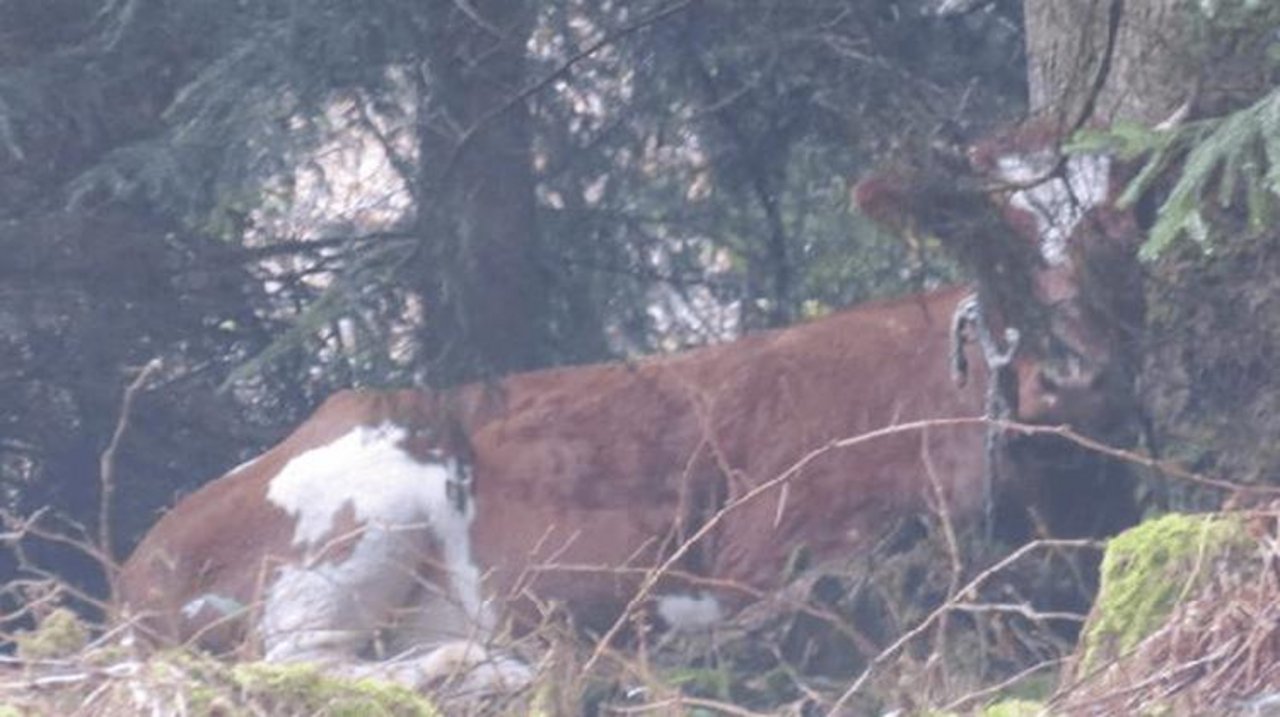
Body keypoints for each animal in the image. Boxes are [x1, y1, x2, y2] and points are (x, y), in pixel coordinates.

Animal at [115, 127, 1146, 691]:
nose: (1073, 373)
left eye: (1113, 229)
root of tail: (136, 563)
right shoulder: (759, 552)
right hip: (362, 501)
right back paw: (486, 667)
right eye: (991, 232)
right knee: (287, 657)